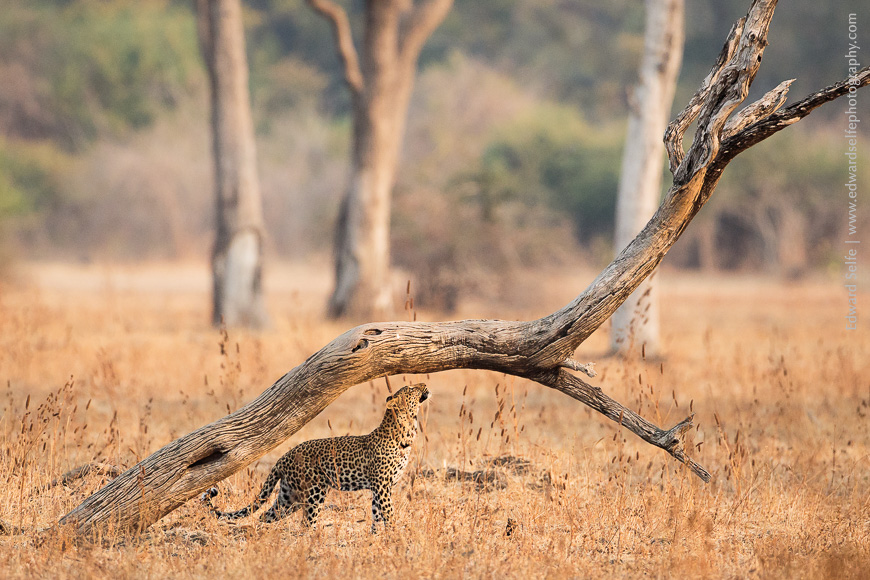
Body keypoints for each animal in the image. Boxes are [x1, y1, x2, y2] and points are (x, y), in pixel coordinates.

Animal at [202, 383, 429, 532]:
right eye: (411, 389)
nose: (424, 384)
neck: (406, 433)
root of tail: (284, 456)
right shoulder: (382, 486)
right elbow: (388, 513)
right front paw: (395, 535)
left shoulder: (379, 488)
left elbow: (376, 515)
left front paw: (377, 538)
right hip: (314, 492)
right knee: (306, 523)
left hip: (289, 496)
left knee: (265, 515)